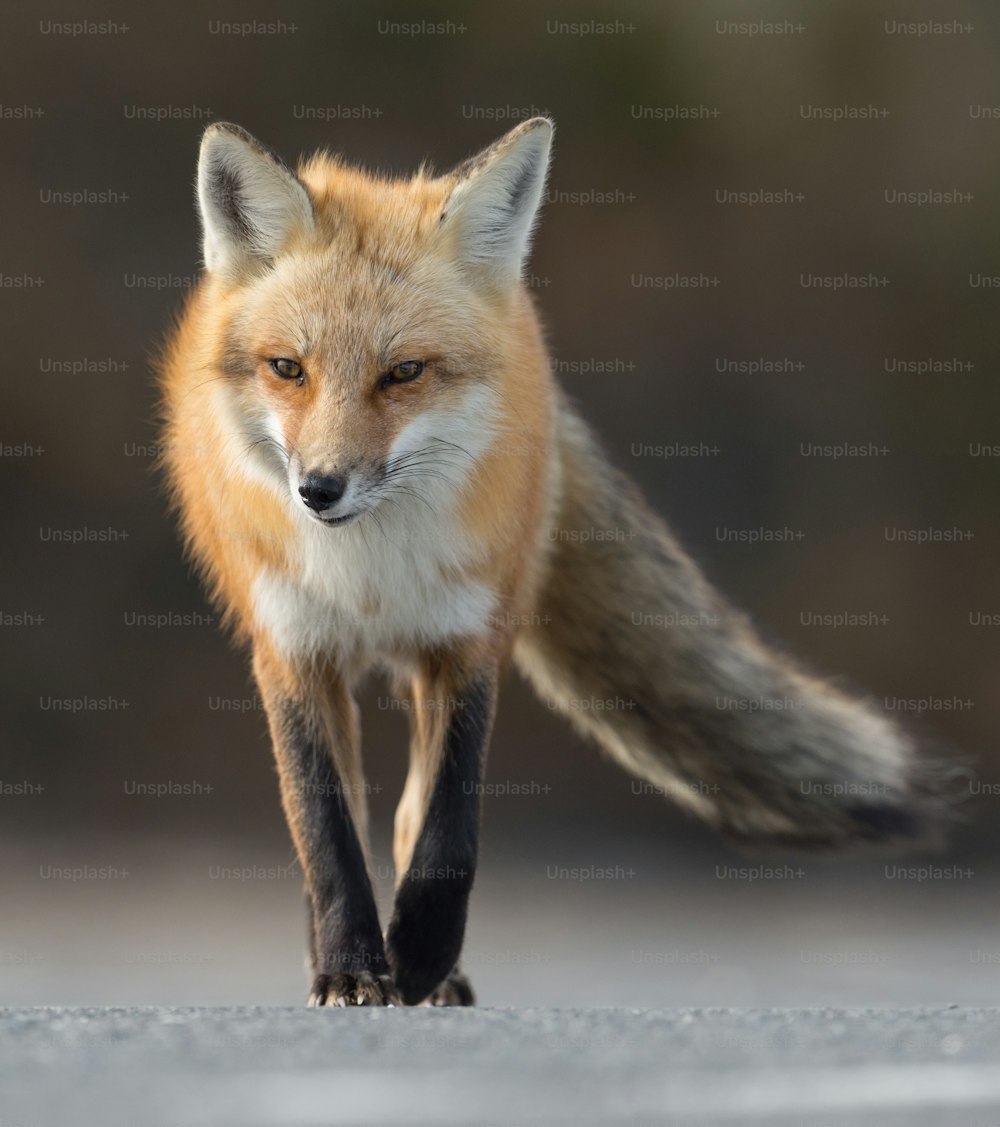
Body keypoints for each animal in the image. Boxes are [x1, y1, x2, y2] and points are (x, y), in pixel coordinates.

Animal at [160, 118, 942, 1009]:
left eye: (404, 372)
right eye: (288, 367)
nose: (318, 489)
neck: (370, 572)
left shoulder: (469, 640)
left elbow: (447, 827)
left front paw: (420, 952)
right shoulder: (292, 649)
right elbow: (325, 830)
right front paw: (353, 965)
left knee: (406, 814)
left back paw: (436, 970)